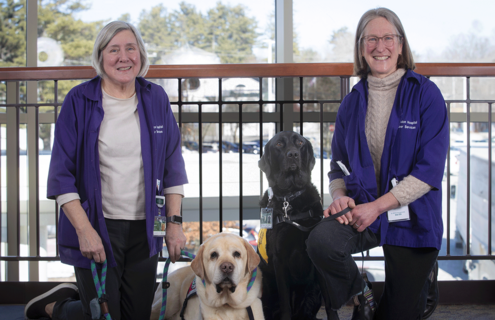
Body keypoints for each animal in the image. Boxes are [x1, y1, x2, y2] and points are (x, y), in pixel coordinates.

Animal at [258, 131, 324, 320]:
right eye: (279, 144)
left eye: (300, 143)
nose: (293, 154)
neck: (290, 197)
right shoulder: (278, 259)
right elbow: (285, 302)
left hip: (312, 292)